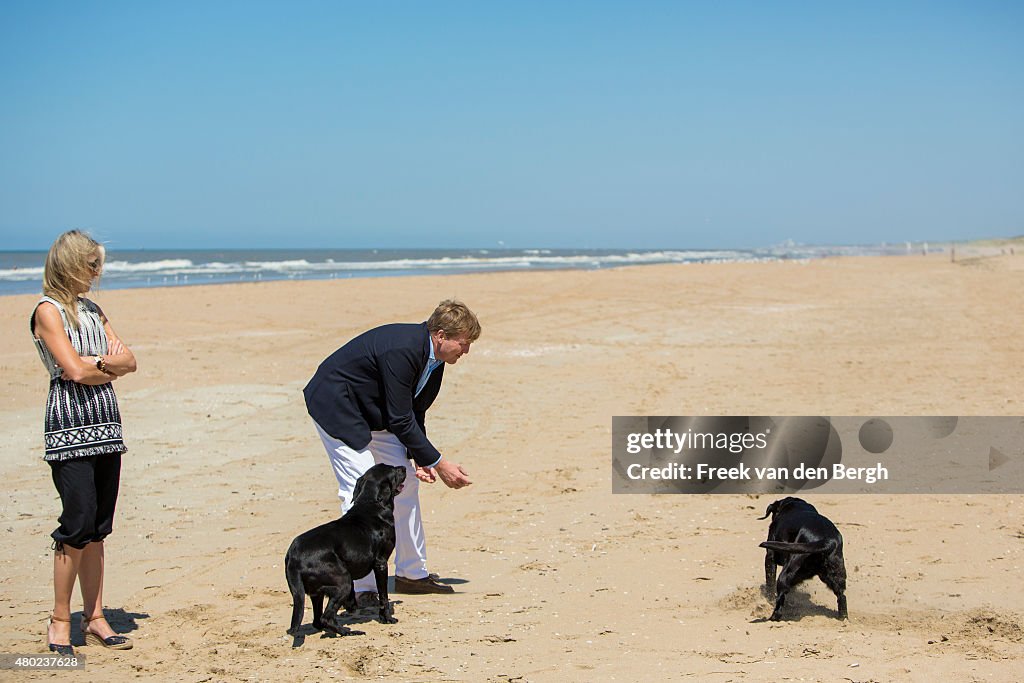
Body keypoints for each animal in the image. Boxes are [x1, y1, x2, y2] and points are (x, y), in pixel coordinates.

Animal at [284, 462, 407, 638]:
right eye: (393, 470)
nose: (404, 467)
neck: (371, 503)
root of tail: (293, 556)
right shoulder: (381, 563)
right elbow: (384, 595)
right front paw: (387, 618)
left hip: (318, 592)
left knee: (318, 620)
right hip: (343, 581)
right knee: (326, 617)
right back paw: (349, 631)